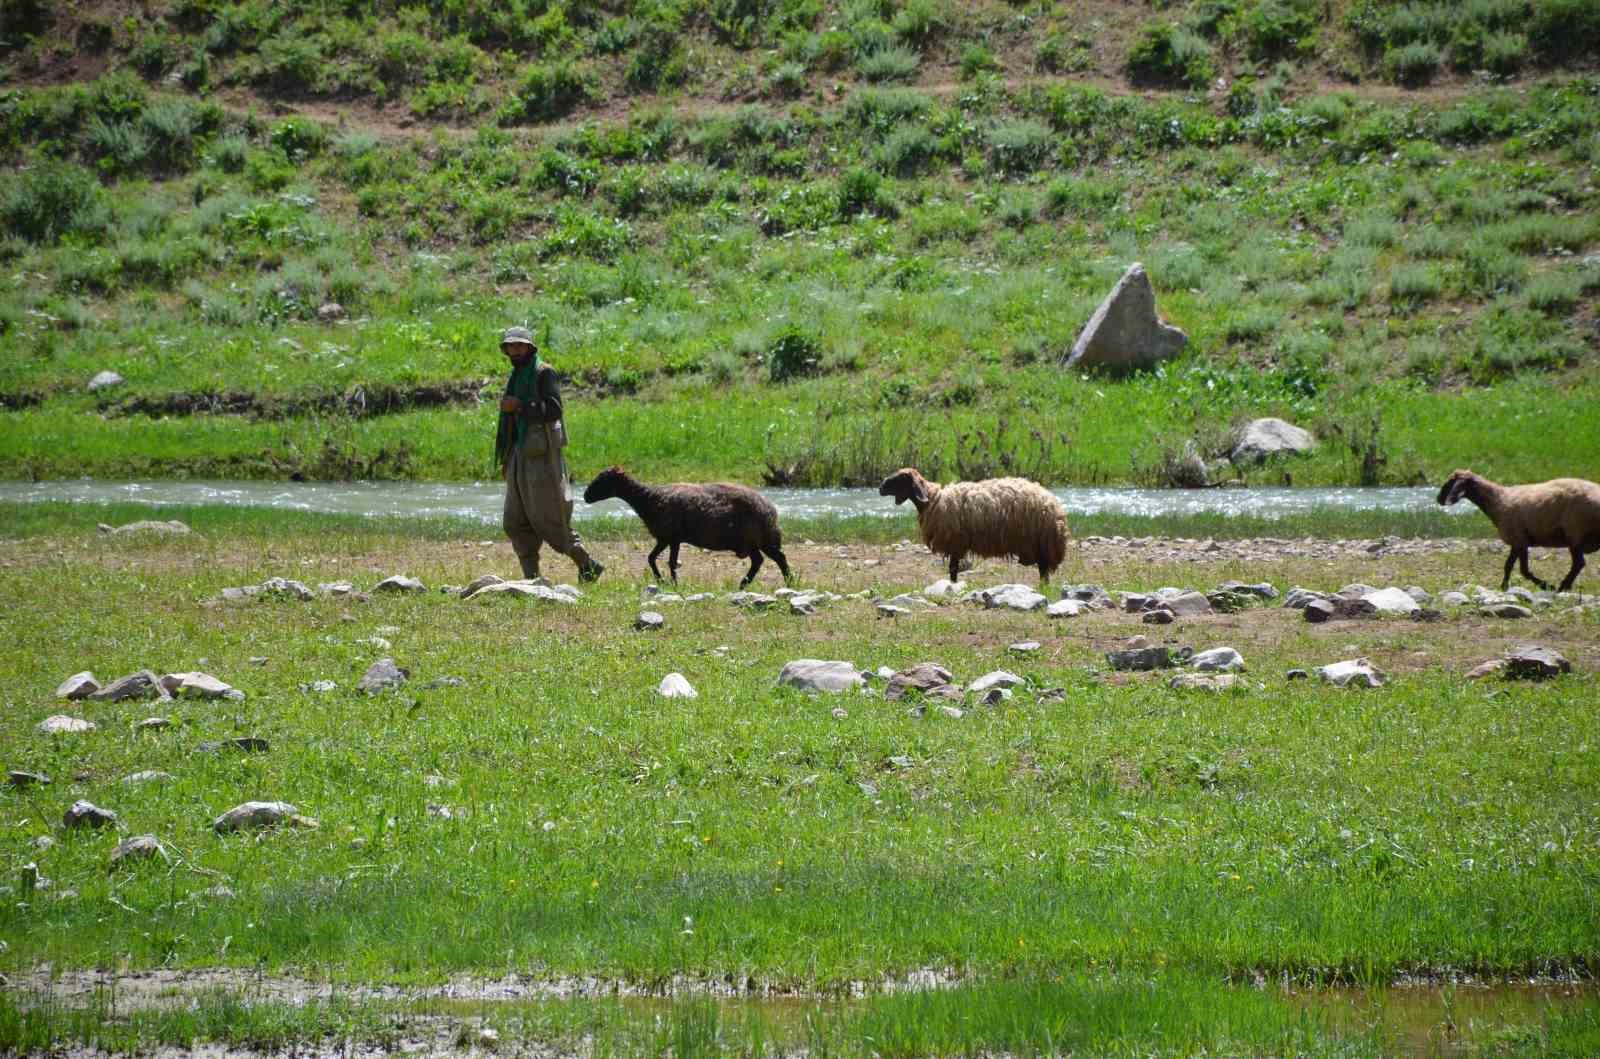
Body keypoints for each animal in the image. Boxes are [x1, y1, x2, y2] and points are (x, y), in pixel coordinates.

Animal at [582, 470, 793, 591]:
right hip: (752, 542)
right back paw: (744, 584)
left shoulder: (671, 537)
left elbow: (669, 562)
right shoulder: (667, 538)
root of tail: (771, 509)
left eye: (603, 480)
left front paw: (672, 583)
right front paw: (664, 581)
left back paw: (788, 582)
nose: (585, 497)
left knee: (778, 559)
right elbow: (654, 559)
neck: (649, 499)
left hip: (761, 539)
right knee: (759, 561)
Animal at [876, 470, 1075, 588]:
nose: (880, 487)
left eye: (900, 478)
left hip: (1041, 542)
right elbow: (953, 568)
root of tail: (1055, 507)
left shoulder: (955, 542)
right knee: (1043, 570)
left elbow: (953, 569)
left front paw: (953, 585)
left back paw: (1044, 587)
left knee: (1043, 569)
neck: (934, 500)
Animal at [1440, 473, 1600, 598]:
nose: (1439, 500)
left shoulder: (1519, 539)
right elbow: (1509, 566)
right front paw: (1504, 586)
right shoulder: (1517, 541)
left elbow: (1523, 570)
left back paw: (1562, 586)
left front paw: (1546, 585)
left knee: (1578, 563)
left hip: (1574, 532)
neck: (1498, 500)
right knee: (1578, 564)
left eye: (1449, 483)